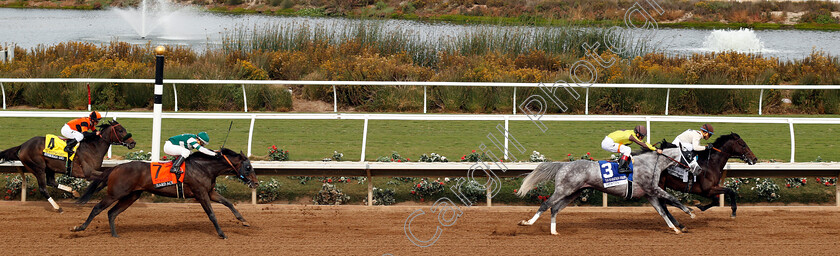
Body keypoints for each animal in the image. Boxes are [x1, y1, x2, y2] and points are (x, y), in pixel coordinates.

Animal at [0, 120, 135, 212]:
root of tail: (23, 145)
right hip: (38, 168)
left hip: (49, 168)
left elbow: (106, 176)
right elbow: (103, 177)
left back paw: (73, 192)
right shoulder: (88, 173)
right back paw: (57, 207)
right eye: (120, 130)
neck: (93, 147)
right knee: (43, 188)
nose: (133, 143)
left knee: (51, 182)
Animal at [72, 147, 256, 239]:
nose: (255, 182)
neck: (204, 167)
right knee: (97, 208)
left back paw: (115, 235)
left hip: (132, 196)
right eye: (248, 167)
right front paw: (222, 234)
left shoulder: (209, 192)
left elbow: (228, 203)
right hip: (115, 194)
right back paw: (79, 227)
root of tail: (116, 168)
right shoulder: (200, 193)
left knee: (112, 213)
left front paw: (244, 221)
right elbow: (211, 214)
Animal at [516, 148, 700, 234]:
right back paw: (527, 223)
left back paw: (554, 231)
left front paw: (675, 228)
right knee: (546, 204)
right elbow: (673, 199)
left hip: (572, 193)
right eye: (690, 156)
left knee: (554, 208)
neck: (651, 163)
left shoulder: (649, 194)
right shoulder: (653, 189)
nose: (698, 170)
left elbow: (662, 211)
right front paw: (691, 212)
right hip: (563, 190)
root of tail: (563, 165)